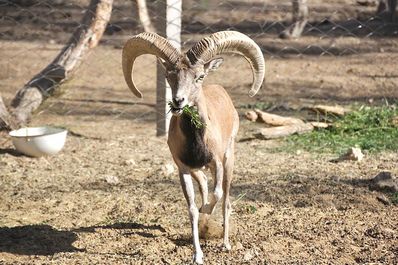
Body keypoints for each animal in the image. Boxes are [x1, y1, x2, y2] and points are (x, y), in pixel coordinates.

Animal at [121, 30, 264, 262]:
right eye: (169, 76)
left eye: (199, 76)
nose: (178, 101)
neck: (197, 141)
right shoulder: (184, 169)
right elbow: (192, 209)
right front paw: (197, 255)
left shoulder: (217, 163)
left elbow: (217, 196)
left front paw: (208, 215)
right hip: (199, 170)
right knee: (204, 184)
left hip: (229, 160)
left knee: (226, 199)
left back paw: (225, 243)